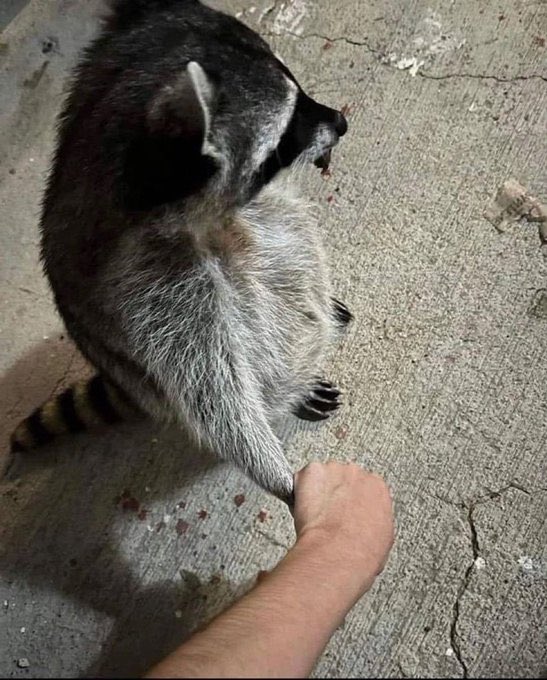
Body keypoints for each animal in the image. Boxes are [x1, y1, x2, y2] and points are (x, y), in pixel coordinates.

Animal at [9, 0, 351, 504]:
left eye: (299, 88)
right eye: (287, 129)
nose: (341, 122)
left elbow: (290, 238)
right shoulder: (149, 283)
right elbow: (211, 387)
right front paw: (279, 474)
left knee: (288, 230)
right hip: (141, 368)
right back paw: (285, 390)